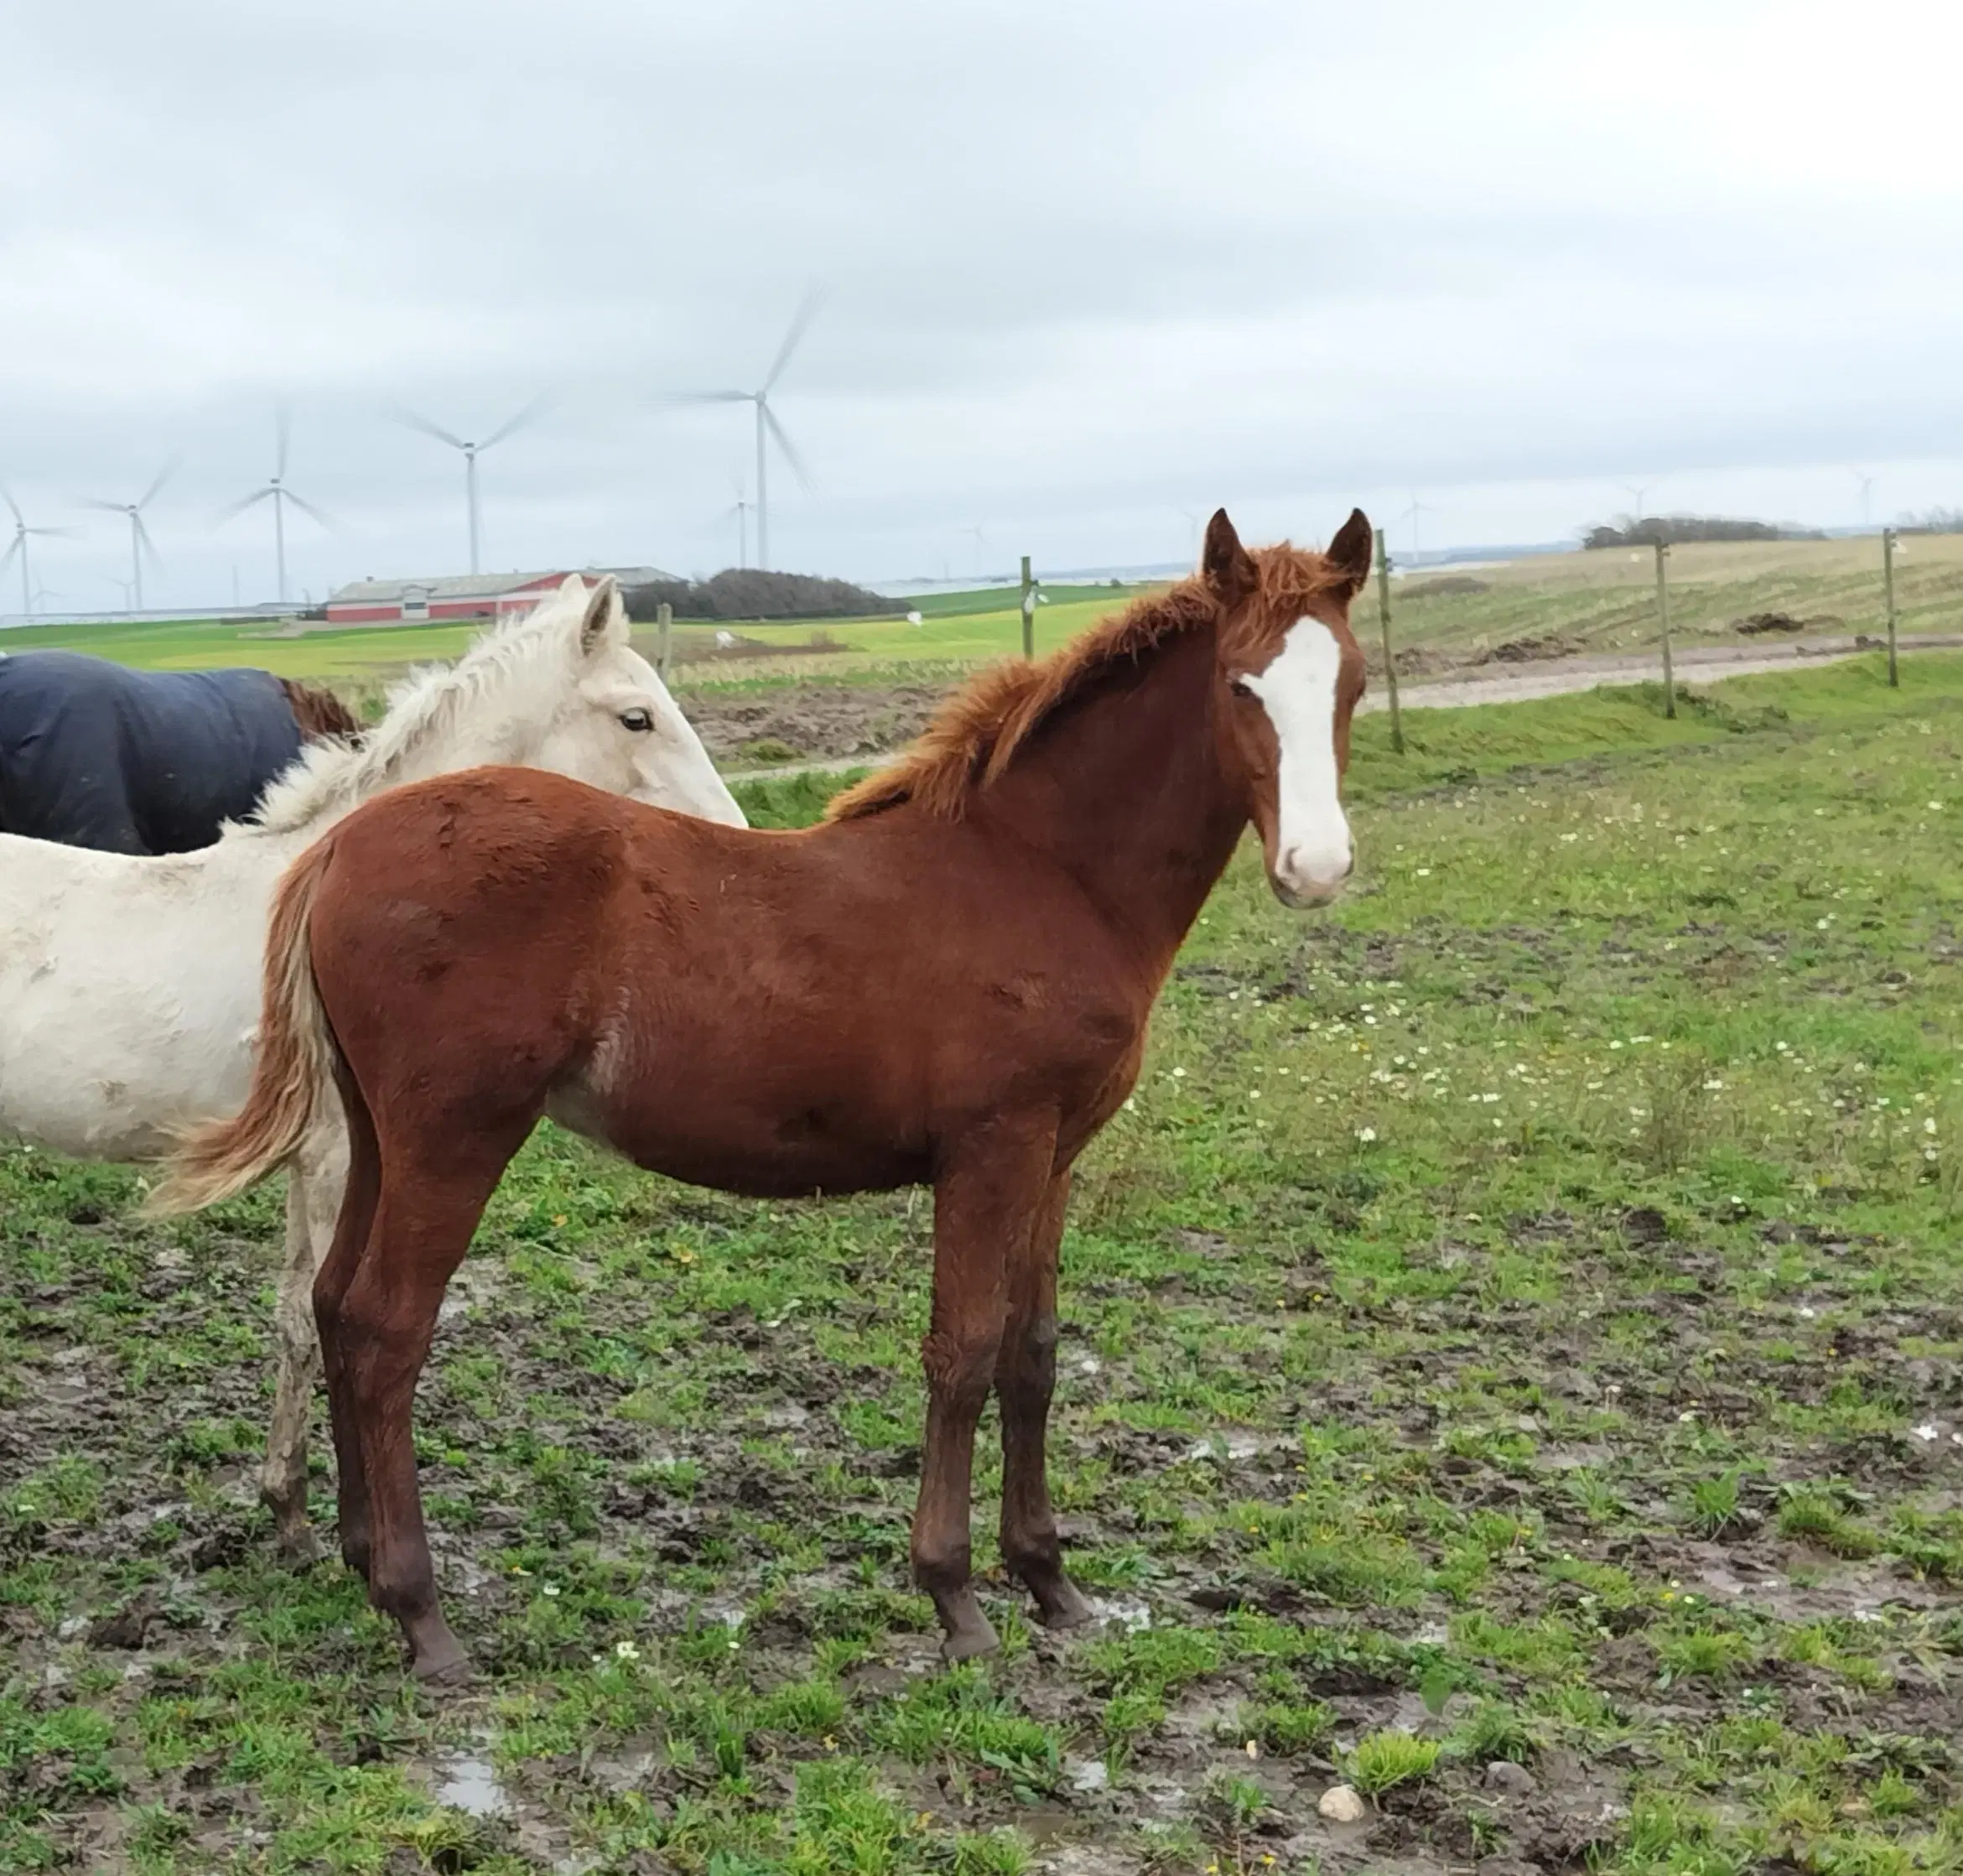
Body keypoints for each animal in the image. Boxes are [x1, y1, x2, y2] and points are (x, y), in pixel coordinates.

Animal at [2, 576, 738, 1554]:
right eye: (636, 716)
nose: (732, 841)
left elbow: (297, 1310)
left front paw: (288, 1505)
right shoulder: (332, 1156)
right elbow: (312, 1319)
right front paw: (304, 1517)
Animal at [160, 506, 1374, 1680]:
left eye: (1351, 682)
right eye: (1241, 685)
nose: (1315, 868)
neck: (1039, 873)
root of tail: (336, 850)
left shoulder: (1054, 1157)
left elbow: (1032, 1353)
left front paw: (1051, 1583)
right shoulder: (990, 1151)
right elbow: (963, 1352)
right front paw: (955, 1599)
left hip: (377, 1132)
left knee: (330, 1303)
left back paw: (362, 1559)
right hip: (454, 1138)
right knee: (383, 1327)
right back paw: (423, 1617)